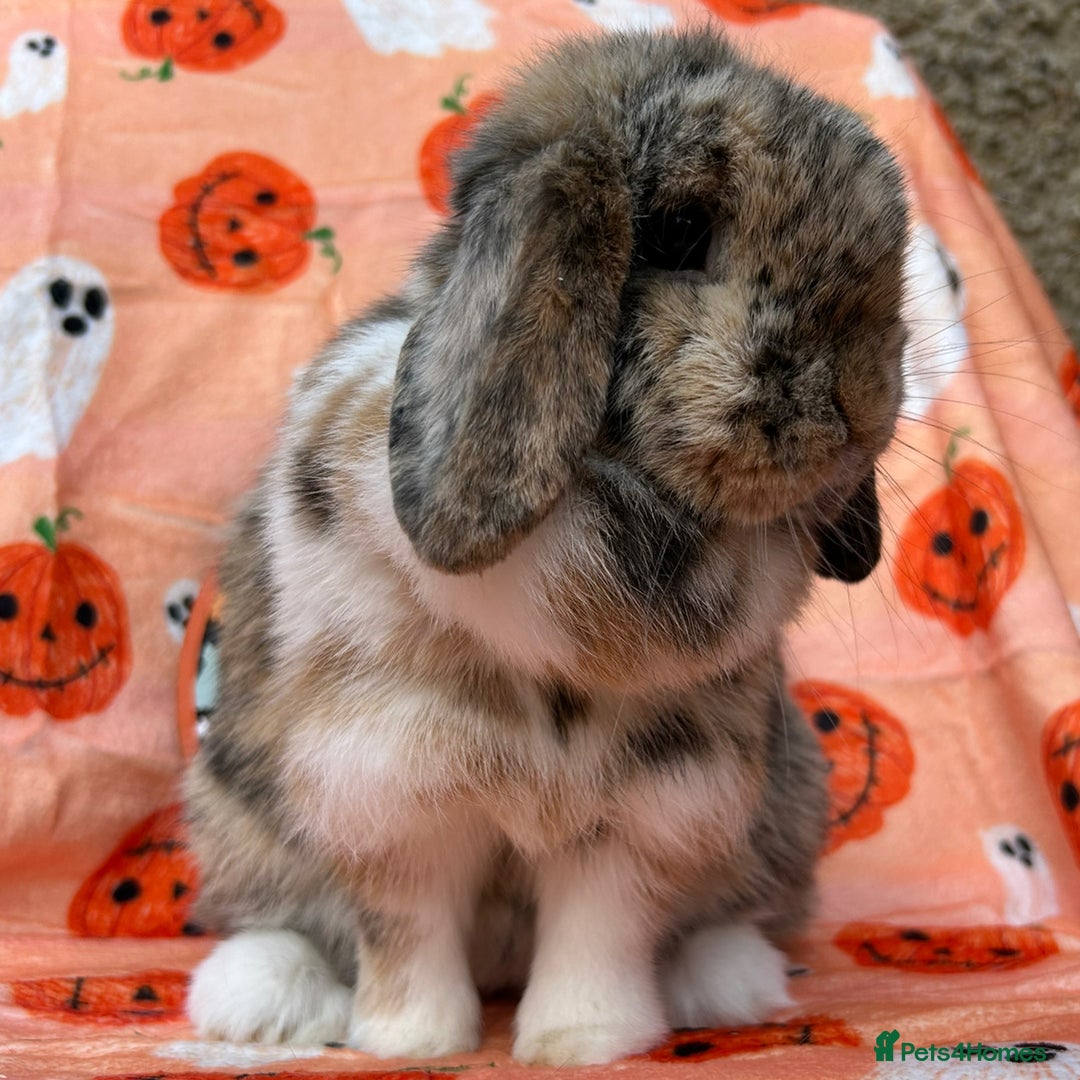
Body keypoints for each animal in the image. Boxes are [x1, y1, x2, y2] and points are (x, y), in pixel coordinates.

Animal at [184, 26, 909, 1067]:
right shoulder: (387, 792)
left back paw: (728, 983)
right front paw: (411, 1042)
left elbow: (600, 936)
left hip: (785, 803)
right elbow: (404, 935)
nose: (857, 402)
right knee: (272, 913)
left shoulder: (650, 814)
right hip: (232, 805)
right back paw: (262, 1004)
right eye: (680, 232)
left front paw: (584, 1041)